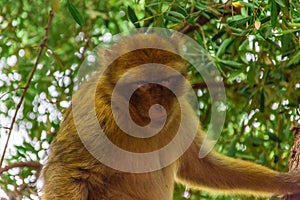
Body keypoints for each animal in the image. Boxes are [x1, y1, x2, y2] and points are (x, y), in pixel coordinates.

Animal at [41, 33, 300, 199]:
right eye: (143, 86)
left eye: (165, 80)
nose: (158, 107)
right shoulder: (97, 112)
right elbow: (68, 172)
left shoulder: (180, 113)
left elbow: (201, 165)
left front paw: (284, 182)